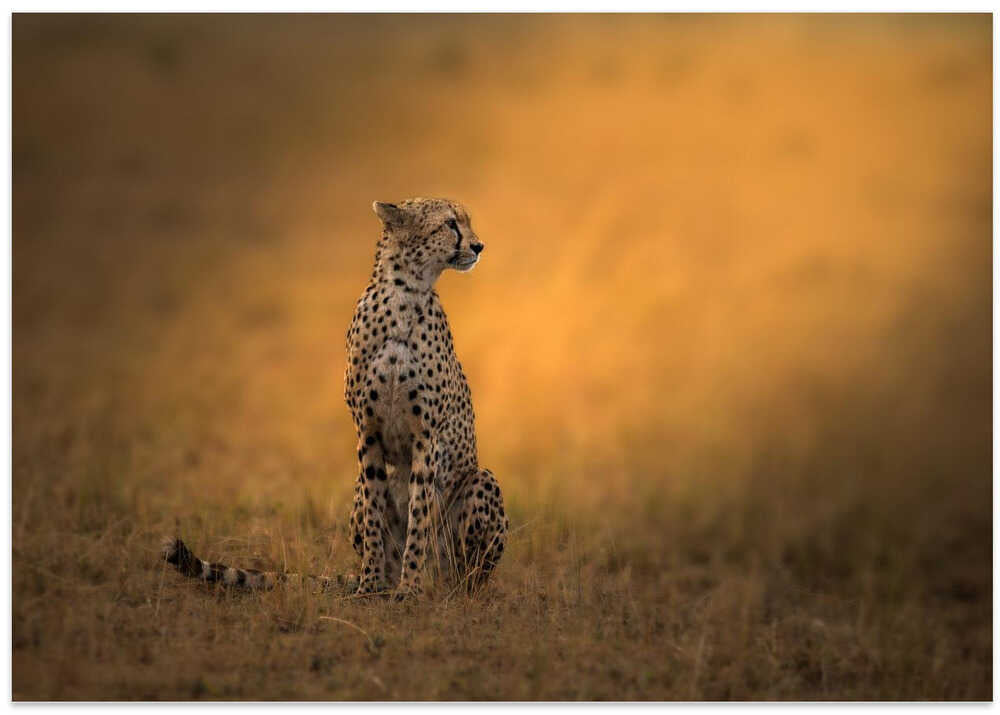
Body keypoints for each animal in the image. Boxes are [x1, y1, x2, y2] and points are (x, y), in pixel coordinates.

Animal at [163, 198, 508, 600]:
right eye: (450, 223)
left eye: (466, 222)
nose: (479, 246)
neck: (405, 294)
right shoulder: (367, 431)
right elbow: (376, 512)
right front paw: (370, 585)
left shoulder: (427, 435)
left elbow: (419, 515)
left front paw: (409, 588)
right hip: (357, 490)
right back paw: (379, 580)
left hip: (480, 482)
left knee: (470, 572)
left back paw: (444, 587)